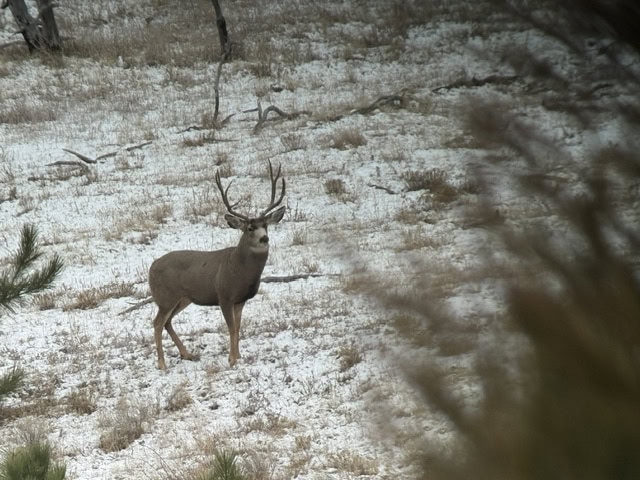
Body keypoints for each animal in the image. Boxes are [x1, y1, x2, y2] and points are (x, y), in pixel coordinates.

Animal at [148, 161, 286, 370]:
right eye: (250, 228)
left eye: (266, 225)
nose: (264, 238)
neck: (240, 270)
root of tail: (151, 267)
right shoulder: (224, 295)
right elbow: (231, 327)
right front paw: (231, 359)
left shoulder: (240, 300)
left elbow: (238, 326)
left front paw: (238, 356)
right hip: (165, 296)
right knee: (157, 323)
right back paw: (162, 363)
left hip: (182, 298)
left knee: (167, 322)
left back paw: (187, 354)